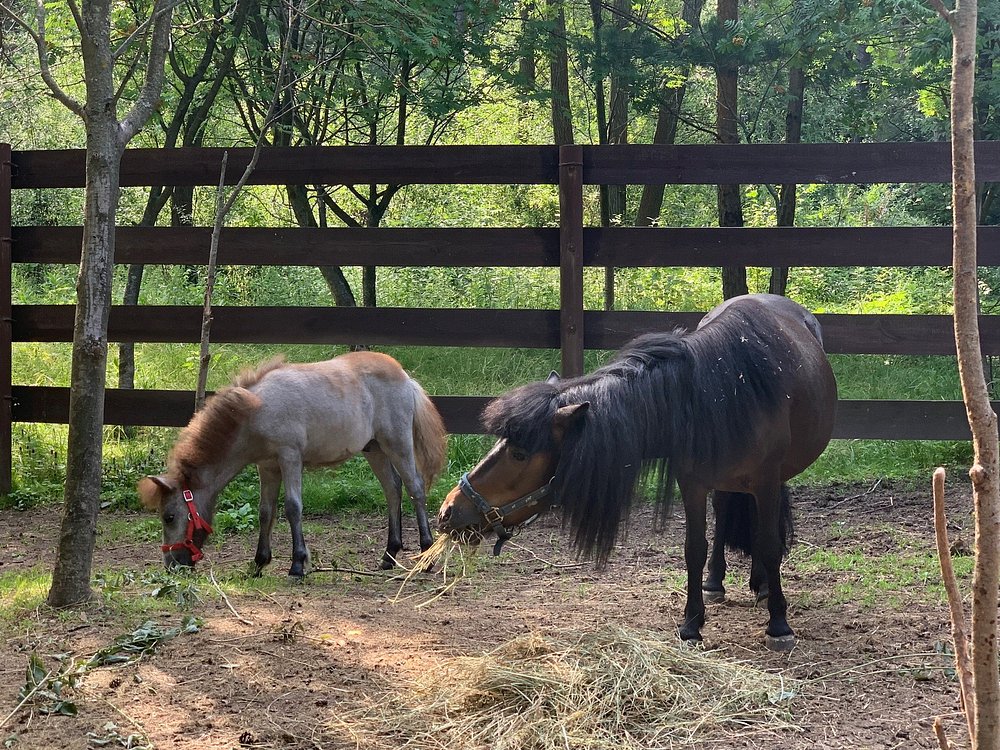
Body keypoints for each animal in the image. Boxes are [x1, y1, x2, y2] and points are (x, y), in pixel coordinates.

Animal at [139, 351, 448, 577]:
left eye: (169, 516)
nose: (171, 565)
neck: (255, 412)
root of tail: (406, 378)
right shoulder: (267, 467)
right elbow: (266, 512)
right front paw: (259, 562)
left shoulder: (289, 458)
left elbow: (292, 508)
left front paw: (298, 564)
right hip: (375, 450)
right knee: (392, 490)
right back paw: (388, 556)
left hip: (397, 443)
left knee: (415, 488)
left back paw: (426, 555)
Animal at [437, 294, 836, 651]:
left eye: (520, 454)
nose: (448, 510)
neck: (719, 394)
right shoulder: (693, 483)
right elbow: (694, 548)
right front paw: (691, 624)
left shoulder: (766, 480)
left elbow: (768, 544)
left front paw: (778, 623)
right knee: (725, 514)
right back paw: (717, 582)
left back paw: (764, 585)